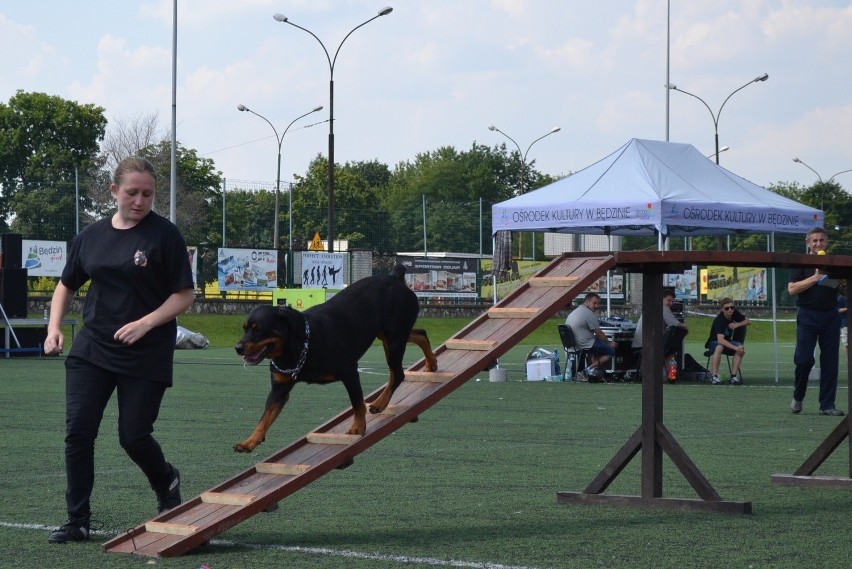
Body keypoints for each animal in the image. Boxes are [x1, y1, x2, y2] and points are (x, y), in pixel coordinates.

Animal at [231, 266, 436, 452]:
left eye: (259, 329)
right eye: (244, 328)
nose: (237, 348)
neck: (297, 348)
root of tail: (395, 277)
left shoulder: (350, 372)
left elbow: (357, 403)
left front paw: (358, 427)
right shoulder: (279, 388)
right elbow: (265, 417)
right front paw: (250, 441)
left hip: (393, 339)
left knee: (398, 374)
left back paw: (380, 403)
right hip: (390, 334)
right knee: (421, 334)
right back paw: (431, 364)